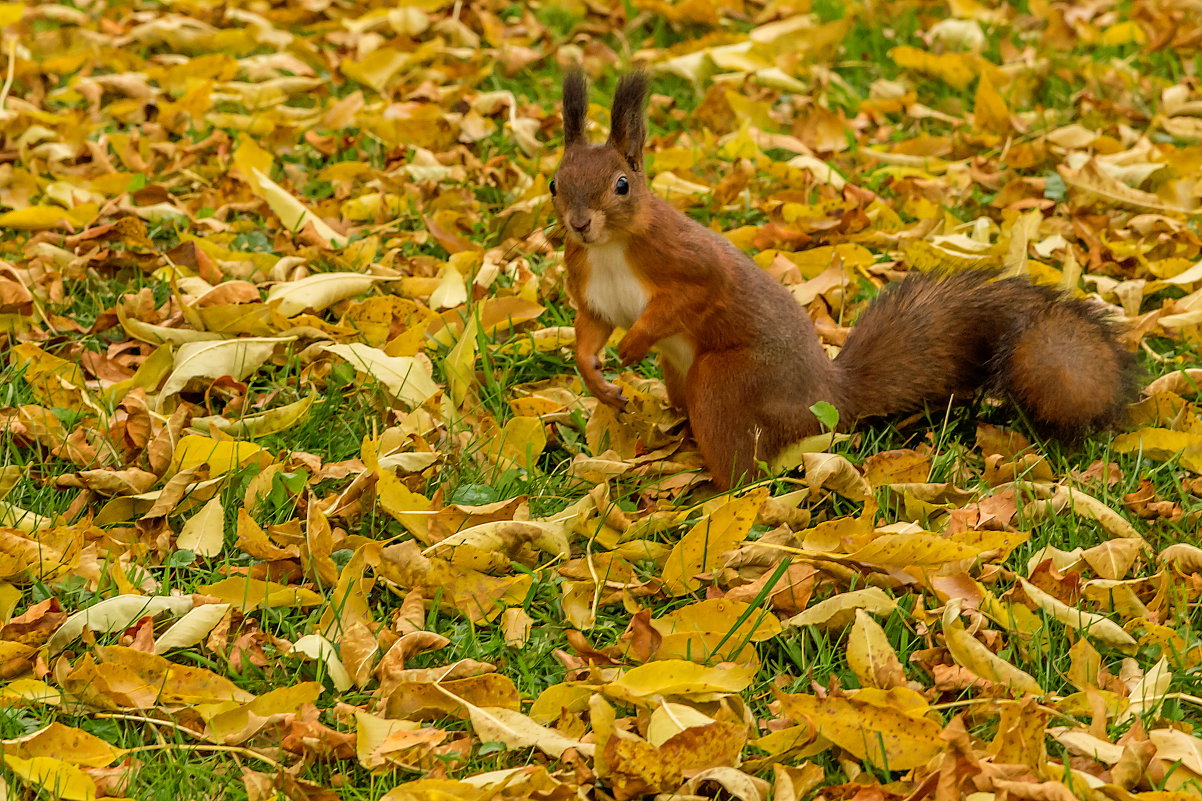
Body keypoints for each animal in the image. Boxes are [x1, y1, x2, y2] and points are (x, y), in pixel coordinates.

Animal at [550, 71, 1139, 485]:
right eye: (554, 183)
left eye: (622, 185)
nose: (578, 224)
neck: (609, 249)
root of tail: (826, 399)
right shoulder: (590, 287)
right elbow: (590, 328)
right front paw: (597, 379)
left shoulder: (687, 262)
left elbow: (688, 298)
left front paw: (634, 344)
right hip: (684, 379)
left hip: (724, 381)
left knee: (744, 473)